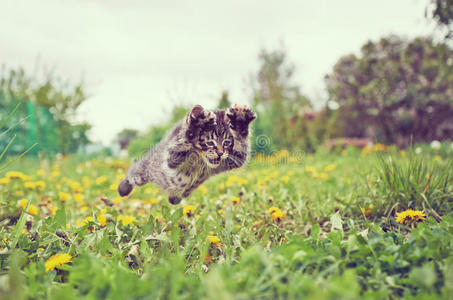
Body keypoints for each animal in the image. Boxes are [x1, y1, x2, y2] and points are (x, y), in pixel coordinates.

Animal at [118, 104, 256, 205]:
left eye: (227, 142)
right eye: (210, 142)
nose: (220, 153)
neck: (201, 159)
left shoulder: (235, 159)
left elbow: (241, 148)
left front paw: (240, 122)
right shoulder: (171, 158)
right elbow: (185, 139)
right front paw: (196, 125)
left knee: (174, 199)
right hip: (144, 170)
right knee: (135, 168)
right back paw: (123, 188)